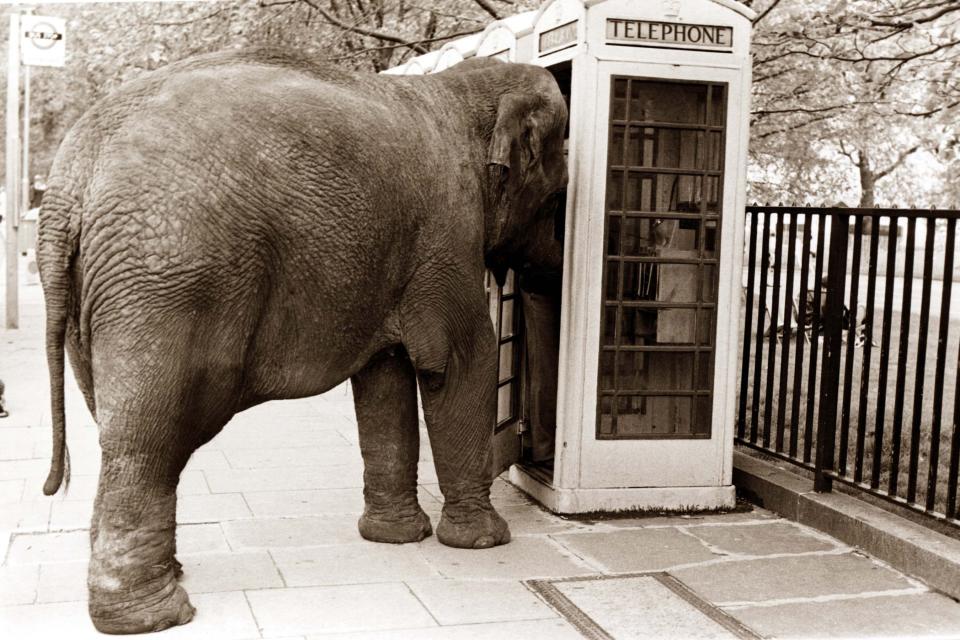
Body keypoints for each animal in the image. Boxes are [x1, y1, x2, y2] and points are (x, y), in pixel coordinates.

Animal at [37, 50, 568, 636]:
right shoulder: (447, 230)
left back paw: (165, 581)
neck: (458, 89)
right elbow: (455, 361)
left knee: (117, 425)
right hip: (167, 281)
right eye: (557, 199)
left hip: (95, 299)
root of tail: (68, 182)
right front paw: (482, 542)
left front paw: (395, 539)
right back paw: (154, 615)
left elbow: (384, 379)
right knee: (147, 439)